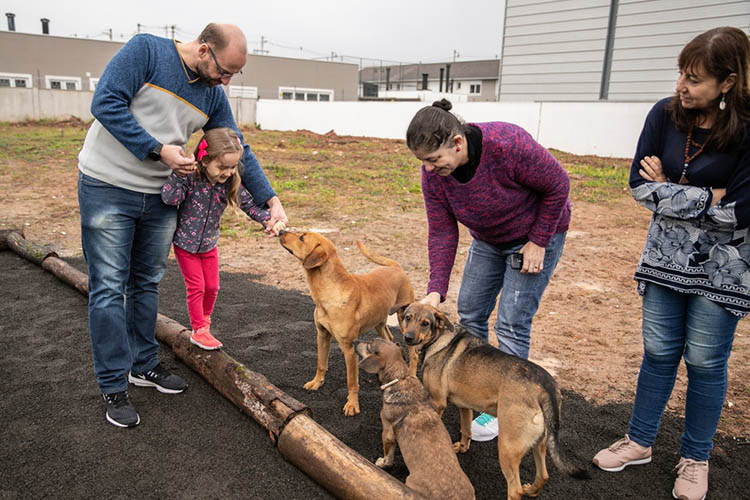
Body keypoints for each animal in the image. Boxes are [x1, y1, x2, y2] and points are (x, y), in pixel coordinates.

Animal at [280, 232, 418, 416]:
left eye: (302, 237)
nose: (280, 232)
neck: (329, 290)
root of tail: (396, 267)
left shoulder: (349, 349)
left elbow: (351, 382)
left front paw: (352, 405)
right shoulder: (322, 335)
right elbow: (321, 363)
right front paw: (316, 382)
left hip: (404, 321)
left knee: (414, 353)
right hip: (379, 322)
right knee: (390, 340)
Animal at [358, 336, 476, 500]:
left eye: (369, 345)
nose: (355, 341)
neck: (400, 378)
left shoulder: (387, 433)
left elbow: (388, 456)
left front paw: (382, 463)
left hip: (410, 480)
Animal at [400, 300, 592, 500]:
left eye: (425, 323)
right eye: (408, 318)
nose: (408, 338)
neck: (439, 338)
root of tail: (546, 387)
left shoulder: (437, 403)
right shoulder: (464, 406)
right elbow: (466, 430)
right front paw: (462, 447)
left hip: (507, 448)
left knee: (515, 490)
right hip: (540, 443)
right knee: (543, 475)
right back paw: (531, 490)